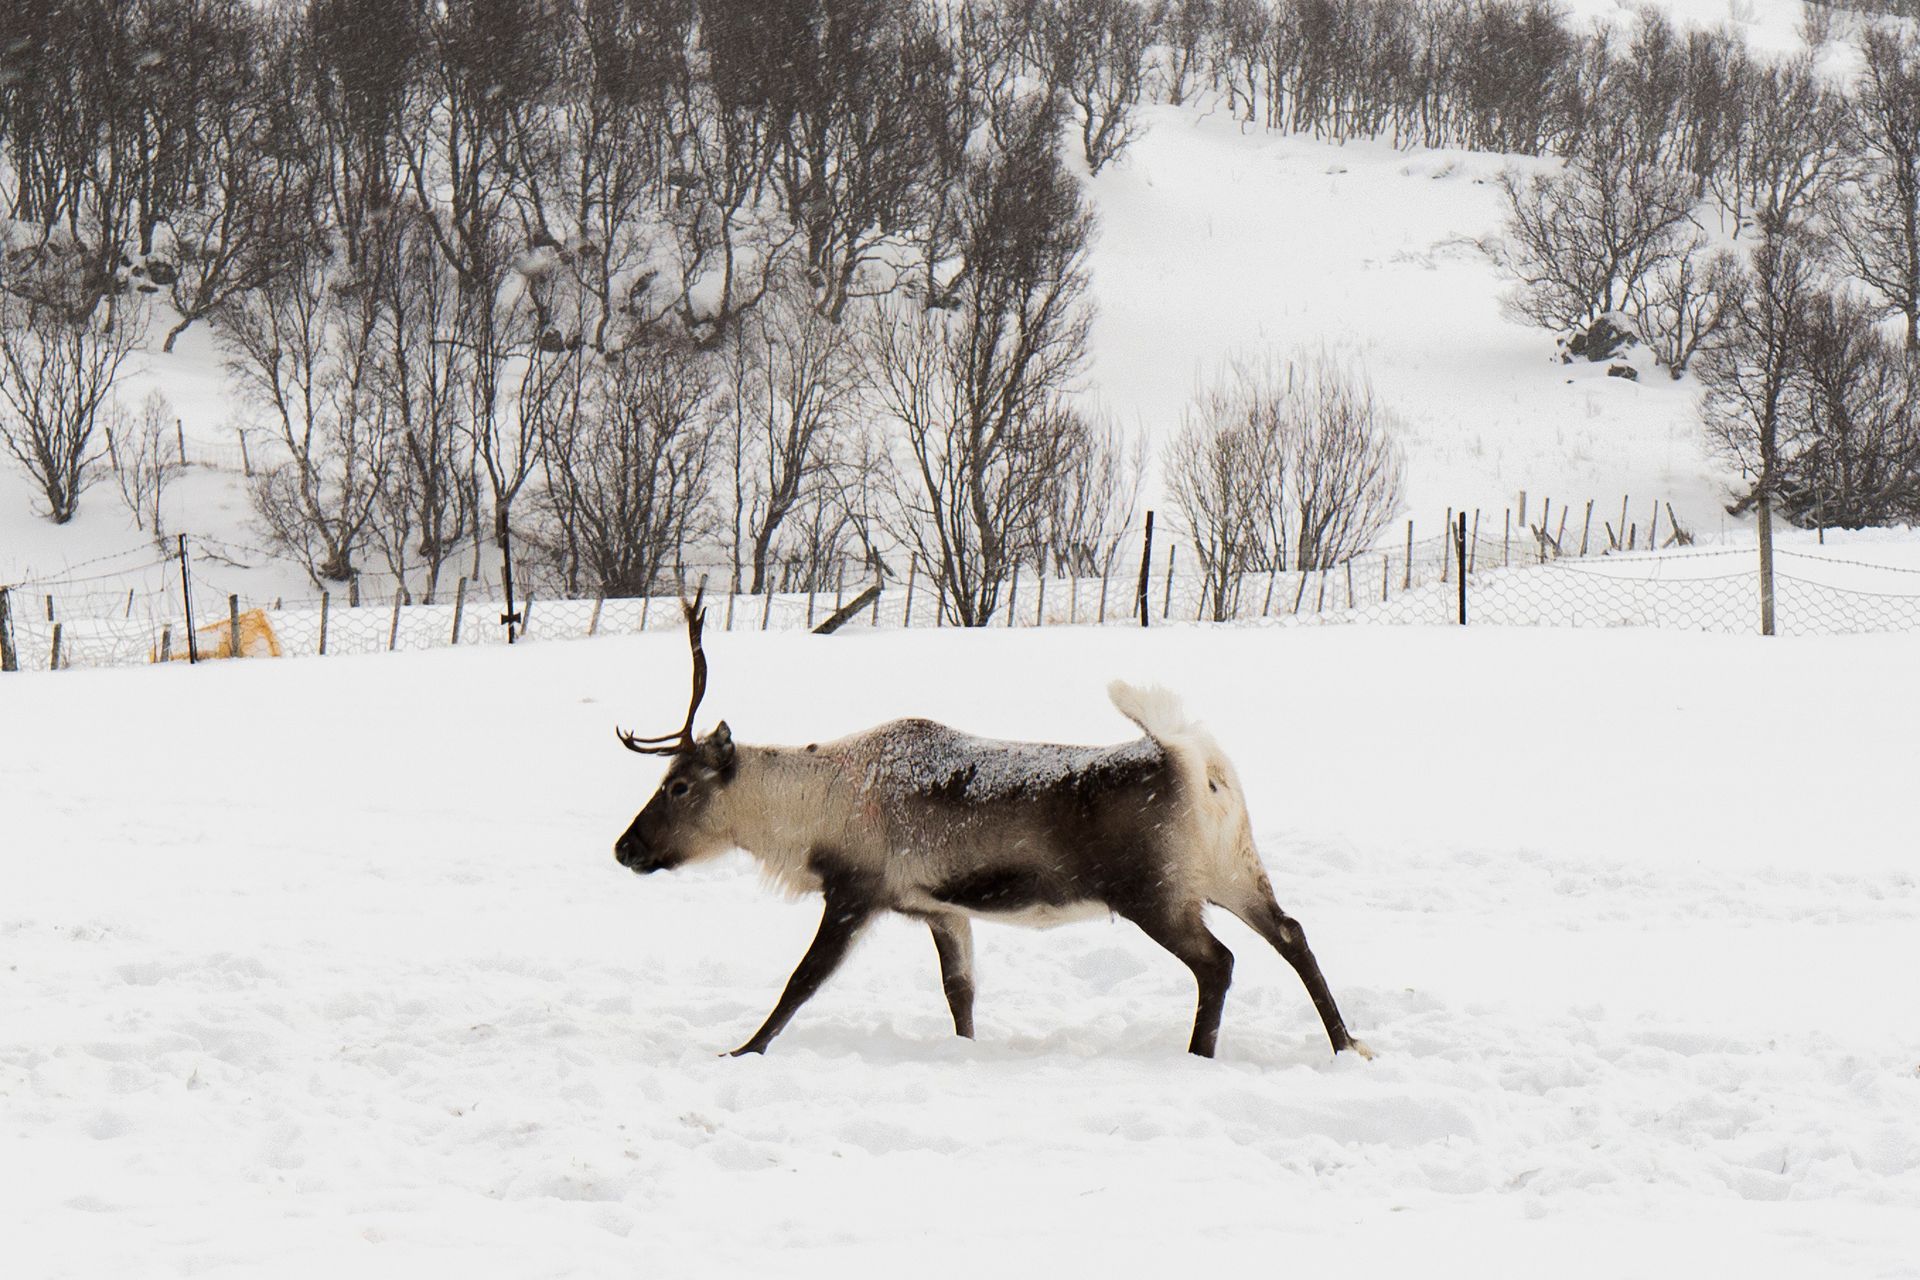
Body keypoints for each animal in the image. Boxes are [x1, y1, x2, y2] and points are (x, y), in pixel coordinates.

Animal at [613, 592, 1373, 1062]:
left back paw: (1200, 1054)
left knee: (1220, 962)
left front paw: (743, 1049)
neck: (812, 810)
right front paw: (967, 1050)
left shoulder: (855, 892)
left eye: (678, 785)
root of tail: (1199, 765)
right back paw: (1347, 1044)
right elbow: (961, 994)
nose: (624, 848)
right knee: (1291, 934)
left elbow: (800, 982)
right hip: (1234, 870)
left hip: (1155, 893)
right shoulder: (940, 909)